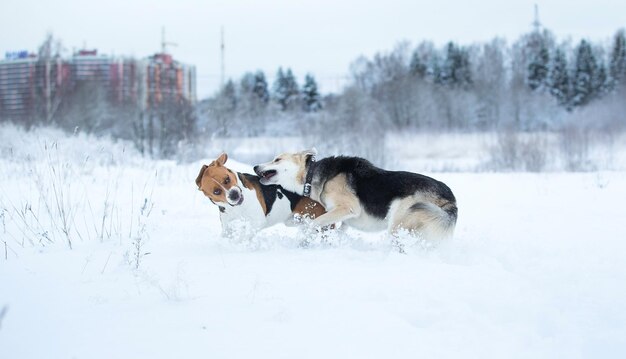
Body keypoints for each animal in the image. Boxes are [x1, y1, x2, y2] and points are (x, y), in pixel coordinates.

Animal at [194, 153, 326, 238]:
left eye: (227, 179)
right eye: (216, 191)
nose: (234, 194)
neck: (237, 207)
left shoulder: (257, 221)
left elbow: (244, 236)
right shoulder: (227, 226)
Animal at [251, 149, 456, 242]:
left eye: (277, 159)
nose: (254, 167)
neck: (311, 175)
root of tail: (451, 199)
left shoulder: (347, 208)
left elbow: (315, 223)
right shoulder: (344, 218)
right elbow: (337, 229)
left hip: (399, 221)